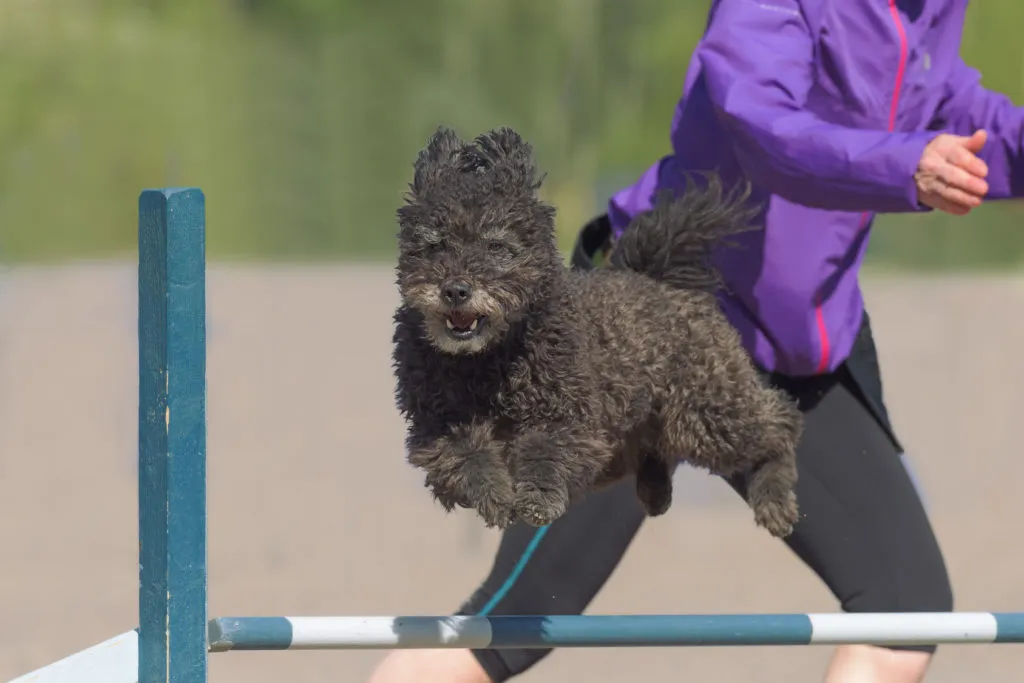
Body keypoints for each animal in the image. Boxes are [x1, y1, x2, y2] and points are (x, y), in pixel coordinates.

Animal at [389, 125, 798, 536]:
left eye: (497, 245)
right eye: (435, 244)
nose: (456, 290)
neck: (484, 361)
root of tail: (663, 277)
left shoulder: (566, 415)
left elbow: (544, 455)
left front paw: (537, 500)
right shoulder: (439, 426)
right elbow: (468, 459)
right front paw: (495, 496)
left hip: (706, 409)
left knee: (780, 425)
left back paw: (774, 499)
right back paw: (655, 490)